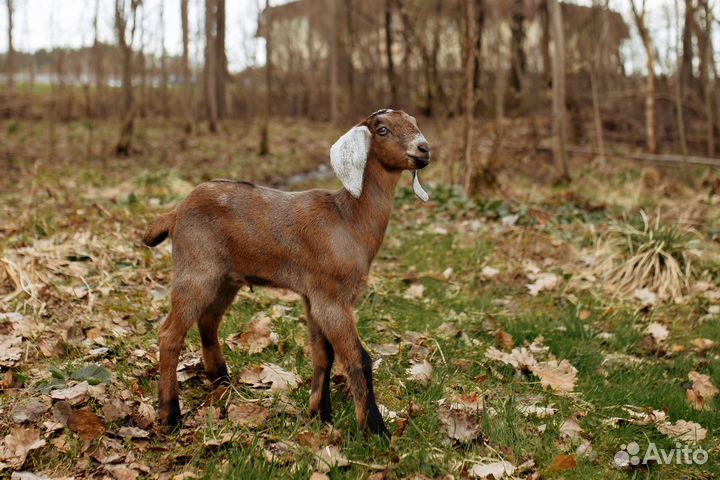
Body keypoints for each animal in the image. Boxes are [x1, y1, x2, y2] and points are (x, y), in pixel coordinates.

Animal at [143, 110, 431, 437]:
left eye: (414, 122)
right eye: (382, 130)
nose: (423, 149)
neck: (348, 219)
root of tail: (175, 213)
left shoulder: (313, 296)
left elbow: (323, 353)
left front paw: (319, 414)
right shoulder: (331, 296)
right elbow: (357, 357)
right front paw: (374, 430)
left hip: (225, 279)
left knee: (208, 321)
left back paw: (222, 380)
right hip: (195, 269)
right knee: (169, 334)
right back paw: (170, 415)